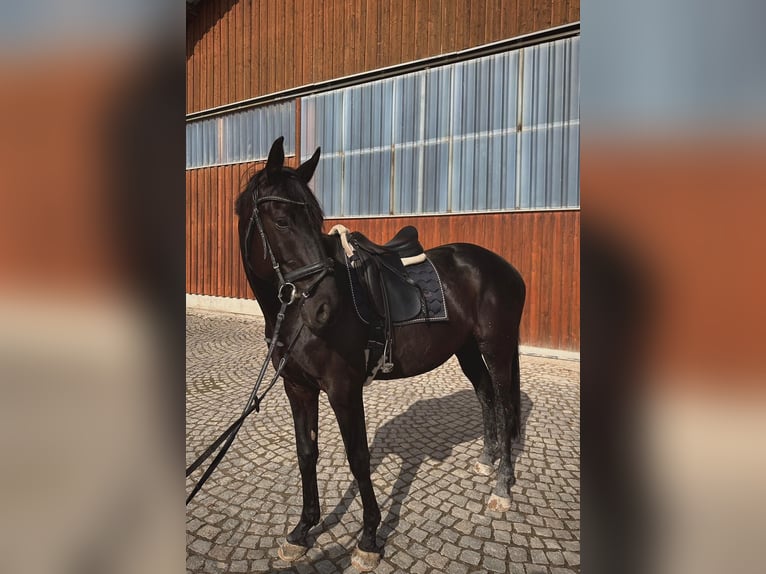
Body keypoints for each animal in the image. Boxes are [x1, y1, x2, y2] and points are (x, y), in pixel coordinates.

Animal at [234, 137, 526, 570]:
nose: (324, 306)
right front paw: (302, 531)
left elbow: (358, 457)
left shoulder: (343, 388)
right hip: (468, 351)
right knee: (486, 396)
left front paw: (369, 538)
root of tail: (504, 266)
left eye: (317, 220)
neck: (293, 316)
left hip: (497, 347)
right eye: (282, 220)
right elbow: (307, 453)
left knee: (505, 404)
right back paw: (486, 461)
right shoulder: (297, 388)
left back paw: (502, 488)